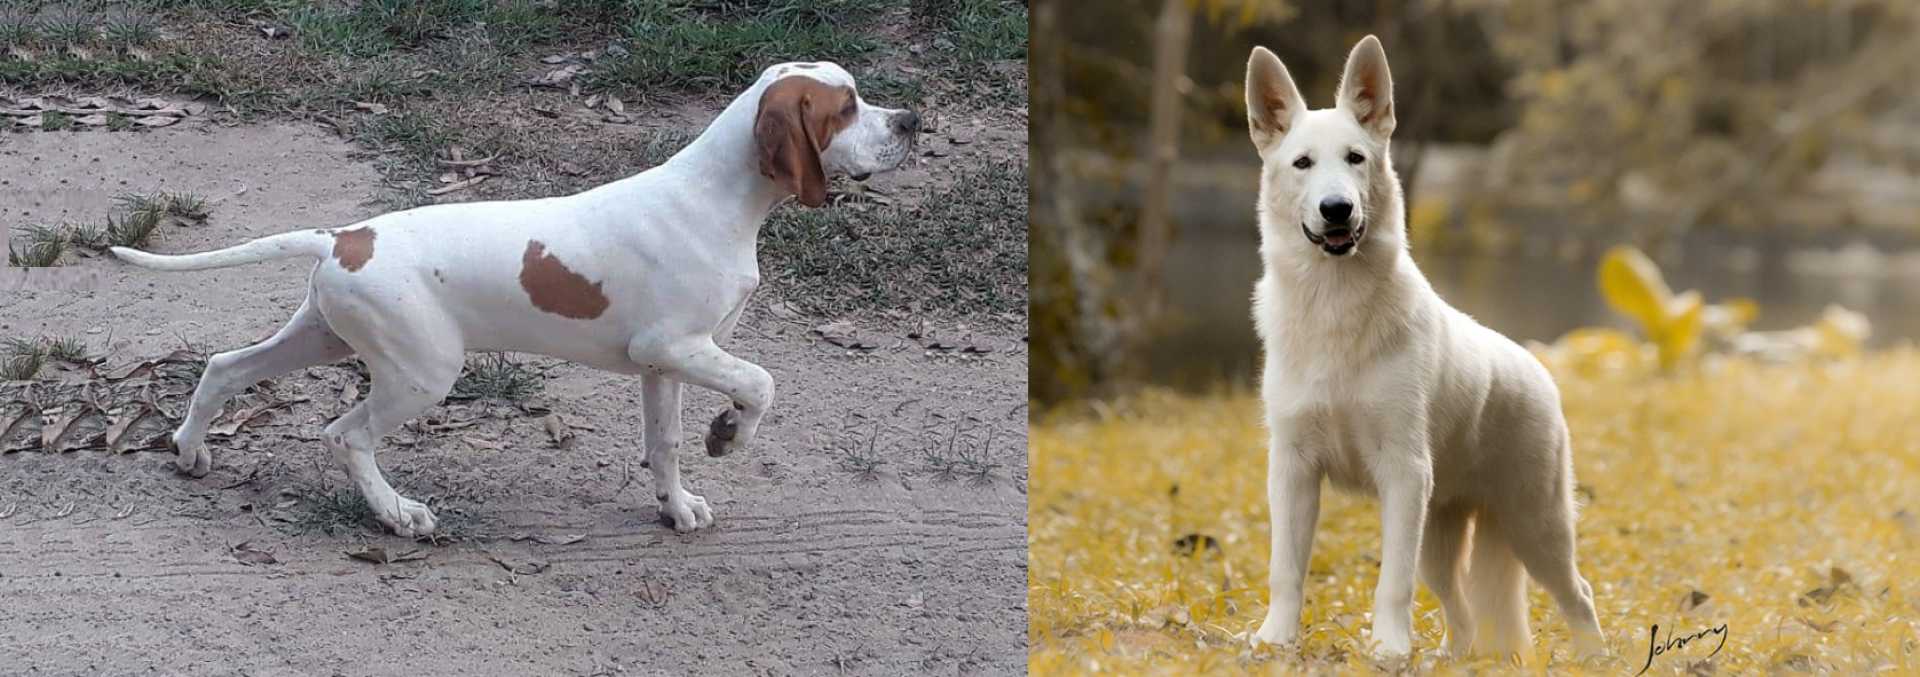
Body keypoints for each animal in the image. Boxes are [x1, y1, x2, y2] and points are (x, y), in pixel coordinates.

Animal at [1244, 34, 1605, 655]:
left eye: (1356, 158)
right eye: (1302, 163)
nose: (1337, 209)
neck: (1334, 306)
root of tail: (1538, 369)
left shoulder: (1403, 473)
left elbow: (1392, 582)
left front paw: (1387, 649)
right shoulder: (1292, 471)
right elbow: (1285, 570)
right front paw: (1277, 639)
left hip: (1535, 528)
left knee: (1579, 595)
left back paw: (1594, 657)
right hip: (1442, 538)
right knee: (1464, 615)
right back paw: (1451, 659)